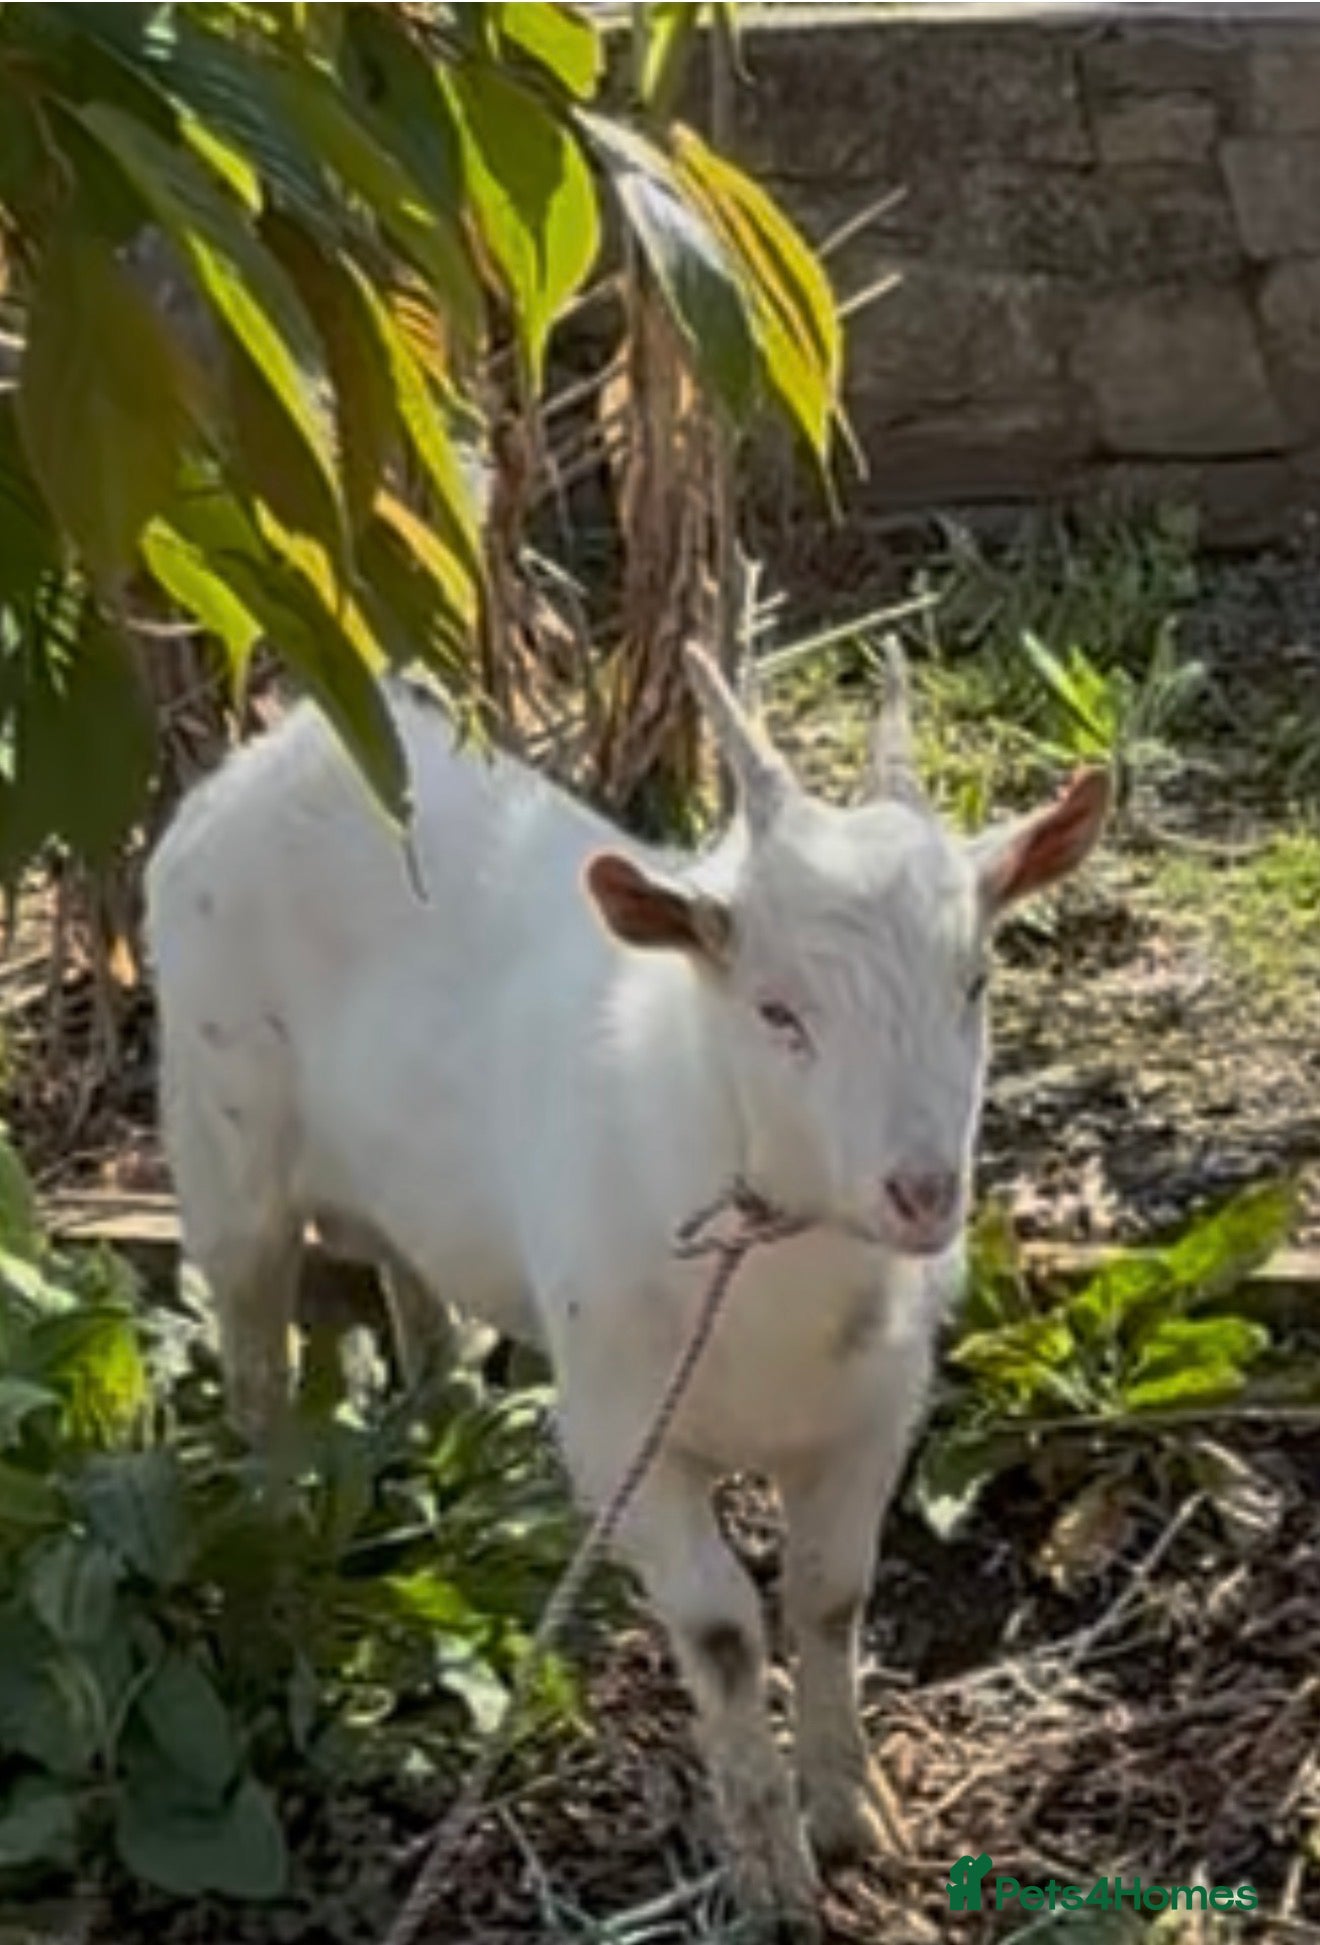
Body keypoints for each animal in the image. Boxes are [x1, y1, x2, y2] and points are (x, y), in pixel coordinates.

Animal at [145, 649, 1109, 1941]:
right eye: (777, 1010)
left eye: (978, 980)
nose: (921, 1192)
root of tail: (288, 745)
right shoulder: (622, 1433)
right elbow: (723, 1628)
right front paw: (771, 1873)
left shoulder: (870, 1417)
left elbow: (831, 1596)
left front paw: (855, 1814)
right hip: (221, 1148)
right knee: (254, 1369)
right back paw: (276, 1571)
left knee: (415, 1283)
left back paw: (441, 1424)